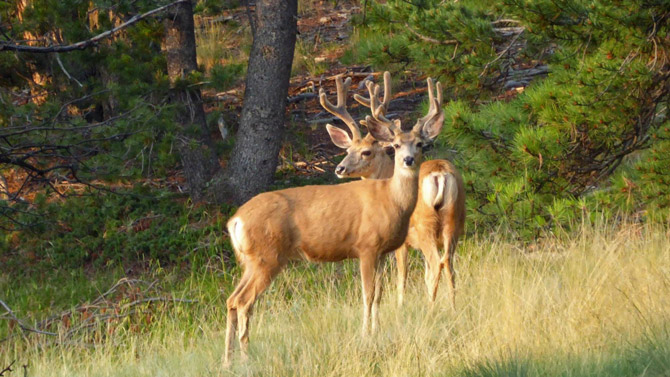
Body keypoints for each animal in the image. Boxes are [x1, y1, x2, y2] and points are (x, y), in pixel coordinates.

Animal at [224, 72, 446, 364]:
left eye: (420, 144)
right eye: (396, 145)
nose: (408, 160)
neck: (390, 199)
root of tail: (235, 221)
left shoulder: (383, 251)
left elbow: (379, 295)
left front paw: (377, 330)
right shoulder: (366, 246)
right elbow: (367, 294)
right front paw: (365, 335)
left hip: (250, 260)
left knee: (231, 299)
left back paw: (227, 360)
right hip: (266, 256)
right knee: (243, 301)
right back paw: (246, 357)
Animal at [320, 72, 468, 306]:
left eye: (366, 152)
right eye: (348, 150)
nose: (339, 168)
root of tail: (439, 174)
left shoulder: (399, 240)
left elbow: (400, 278)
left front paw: (399, 306)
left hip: (425, 225)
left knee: (437, 263)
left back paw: (431, 308)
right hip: (454, 221)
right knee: (448, 264)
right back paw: (453, 306)